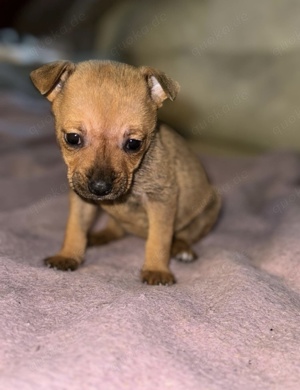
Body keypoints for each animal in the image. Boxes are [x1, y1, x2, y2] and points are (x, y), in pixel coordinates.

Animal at [29, 61, 220, 286]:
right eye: (73, 138)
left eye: (134, 144)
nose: (100, 187)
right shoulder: (82, 200)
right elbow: (75, 227)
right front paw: (68, 255)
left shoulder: (161, 201)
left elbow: (159, 240)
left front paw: (156, 269)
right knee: (116, 228)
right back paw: (99, 236)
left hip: (211, 207)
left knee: (188, 234)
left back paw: (181, 248)